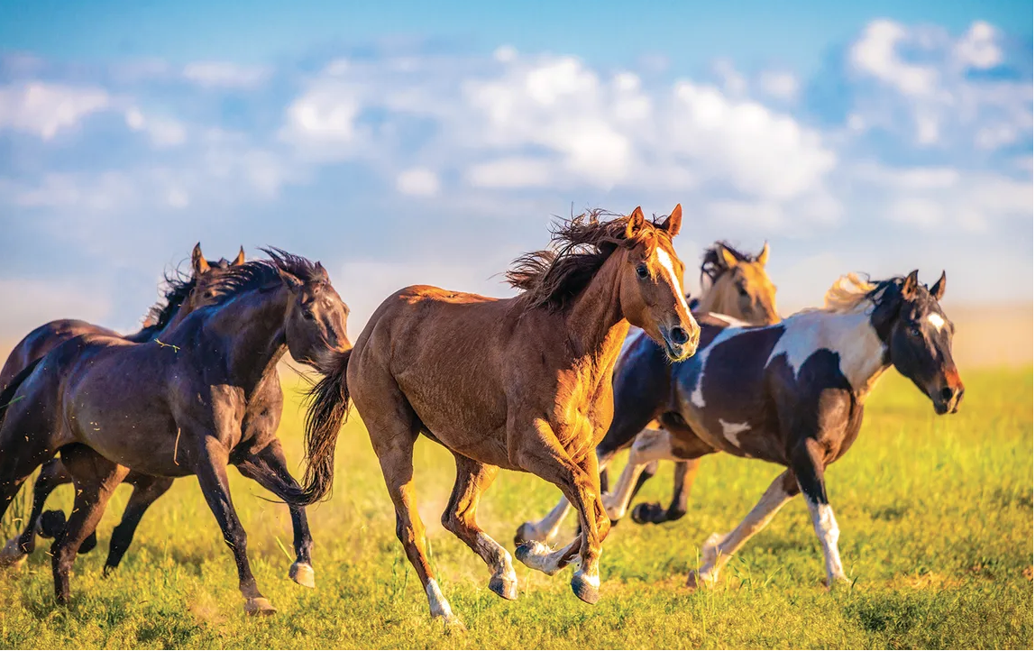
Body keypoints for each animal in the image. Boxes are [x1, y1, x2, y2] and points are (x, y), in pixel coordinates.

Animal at [299, 206, 699, 626]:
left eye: (680, 266)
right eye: (642, 269)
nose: (685, 335)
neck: (568, 348)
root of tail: (366, 335)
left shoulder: (584, 448)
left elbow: (597, 511)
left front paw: (537, 554)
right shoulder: (529, 446)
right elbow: (584, 493)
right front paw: (586, 578)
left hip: (476, 456)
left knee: (455, 515)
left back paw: (503, 574)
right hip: (393, 442)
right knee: (412, 530)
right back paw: (445, 613)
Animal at [518, 241, 781, 544]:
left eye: (772, 289)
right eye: (742, 289)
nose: (774, 324)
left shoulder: (688, 436)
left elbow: (677, 503)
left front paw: (643, 511)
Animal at [596, 271, 963, 589]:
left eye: (949, 329)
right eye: (914, 329)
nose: (951, 393)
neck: (836, 368)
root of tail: (644, 337)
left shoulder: (801, 464)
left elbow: (757, 520)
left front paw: (706, 569)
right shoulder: (806, 454)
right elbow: (824, 523)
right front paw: (839, 580)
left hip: (693, 438)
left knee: (642, 449)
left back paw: (617, 509)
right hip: (631, 416)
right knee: (600, 456)